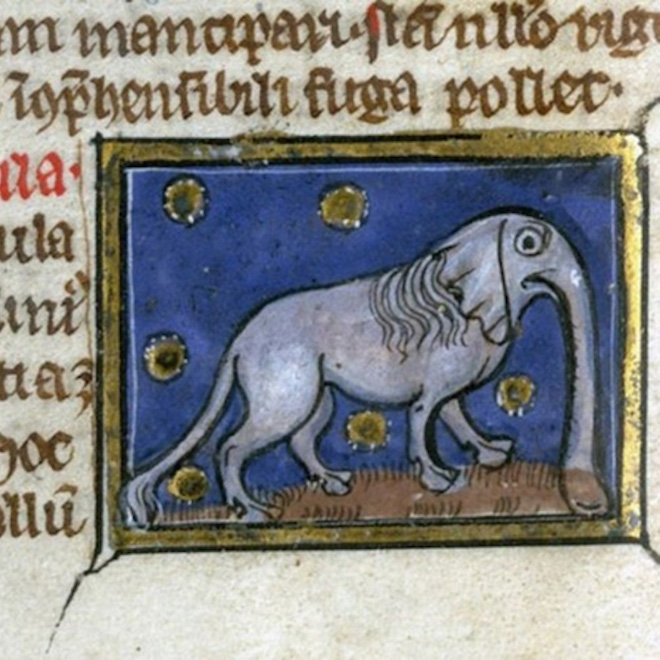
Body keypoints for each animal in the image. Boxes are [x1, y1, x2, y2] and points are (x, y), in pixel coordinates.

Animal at [123, 207, 609, 525]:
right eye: (528, 244)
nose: (589, 502)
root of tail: (240, 341)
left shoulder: (453, 386)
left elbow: (456, 415)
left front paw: (492, 454)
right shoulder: (432, 387)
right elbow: (422, 418)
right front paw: (438, 480)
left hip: (315, 394)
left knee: (300, 440)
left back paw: (334, 482)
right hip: (284, 394)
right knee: (231, 446)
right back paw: (251, 510)